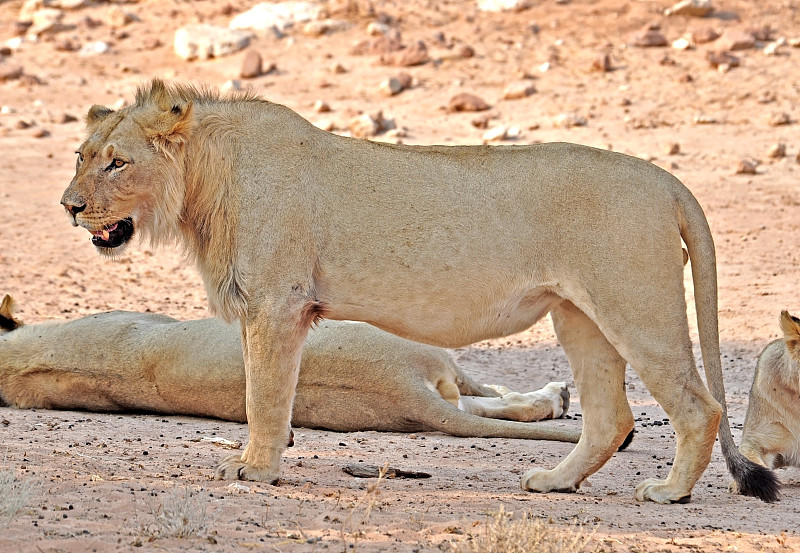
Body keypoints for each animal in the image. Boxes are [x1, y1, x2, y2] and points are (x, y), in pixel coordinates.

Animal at [59, 80, 780, 502]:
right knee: (611, 418)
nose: (69, 207)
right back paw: (553, 482)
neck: (203, 184)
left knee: (699, 406)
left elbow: (263, 394)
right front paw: (265, 456)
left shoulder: (278, 305)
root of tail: (667, 181)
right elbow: (265, 393)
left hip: (637, 306)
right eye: (80, 156)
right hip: (580, 316)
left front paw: (255, 468)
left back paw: (669, 492)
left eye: (117, 162)